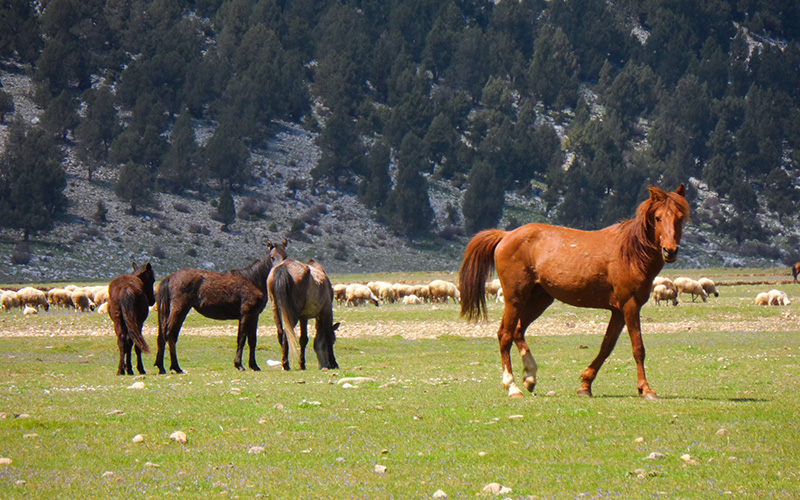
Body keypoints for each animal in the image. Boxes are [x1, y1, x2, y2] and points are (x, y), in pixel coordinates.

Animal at [154, 240, 288, 374]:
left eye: (285, 256)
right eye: (272, 257)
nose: (278, 271)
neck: (253, 281)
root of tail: (169, 278)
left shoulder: (254, 316)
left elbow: (252, 340)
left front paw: (254, 366)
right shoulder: (246, 315)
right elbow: (241, 338)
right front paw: (239, 365)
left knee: (167, 336)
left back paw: (169, 367)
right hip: (179, 310)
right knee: (168, 334)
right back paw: (169, 367)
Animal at [460, 186, 692, 400]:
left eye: (680, 218)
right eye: (658, 217)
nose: (670, 250)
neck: (631, 254)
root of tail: (506, 235)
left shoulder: (618, 311)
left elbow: (606, 346)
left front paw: (585, 385)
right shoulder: (630, 305)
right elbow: (638, 348)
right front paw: (646, 389)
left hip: (539, 299)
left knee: (518, 331)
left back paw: (530, 377)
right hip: (515, 298)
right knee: (505, 335)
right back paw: (512, 386)